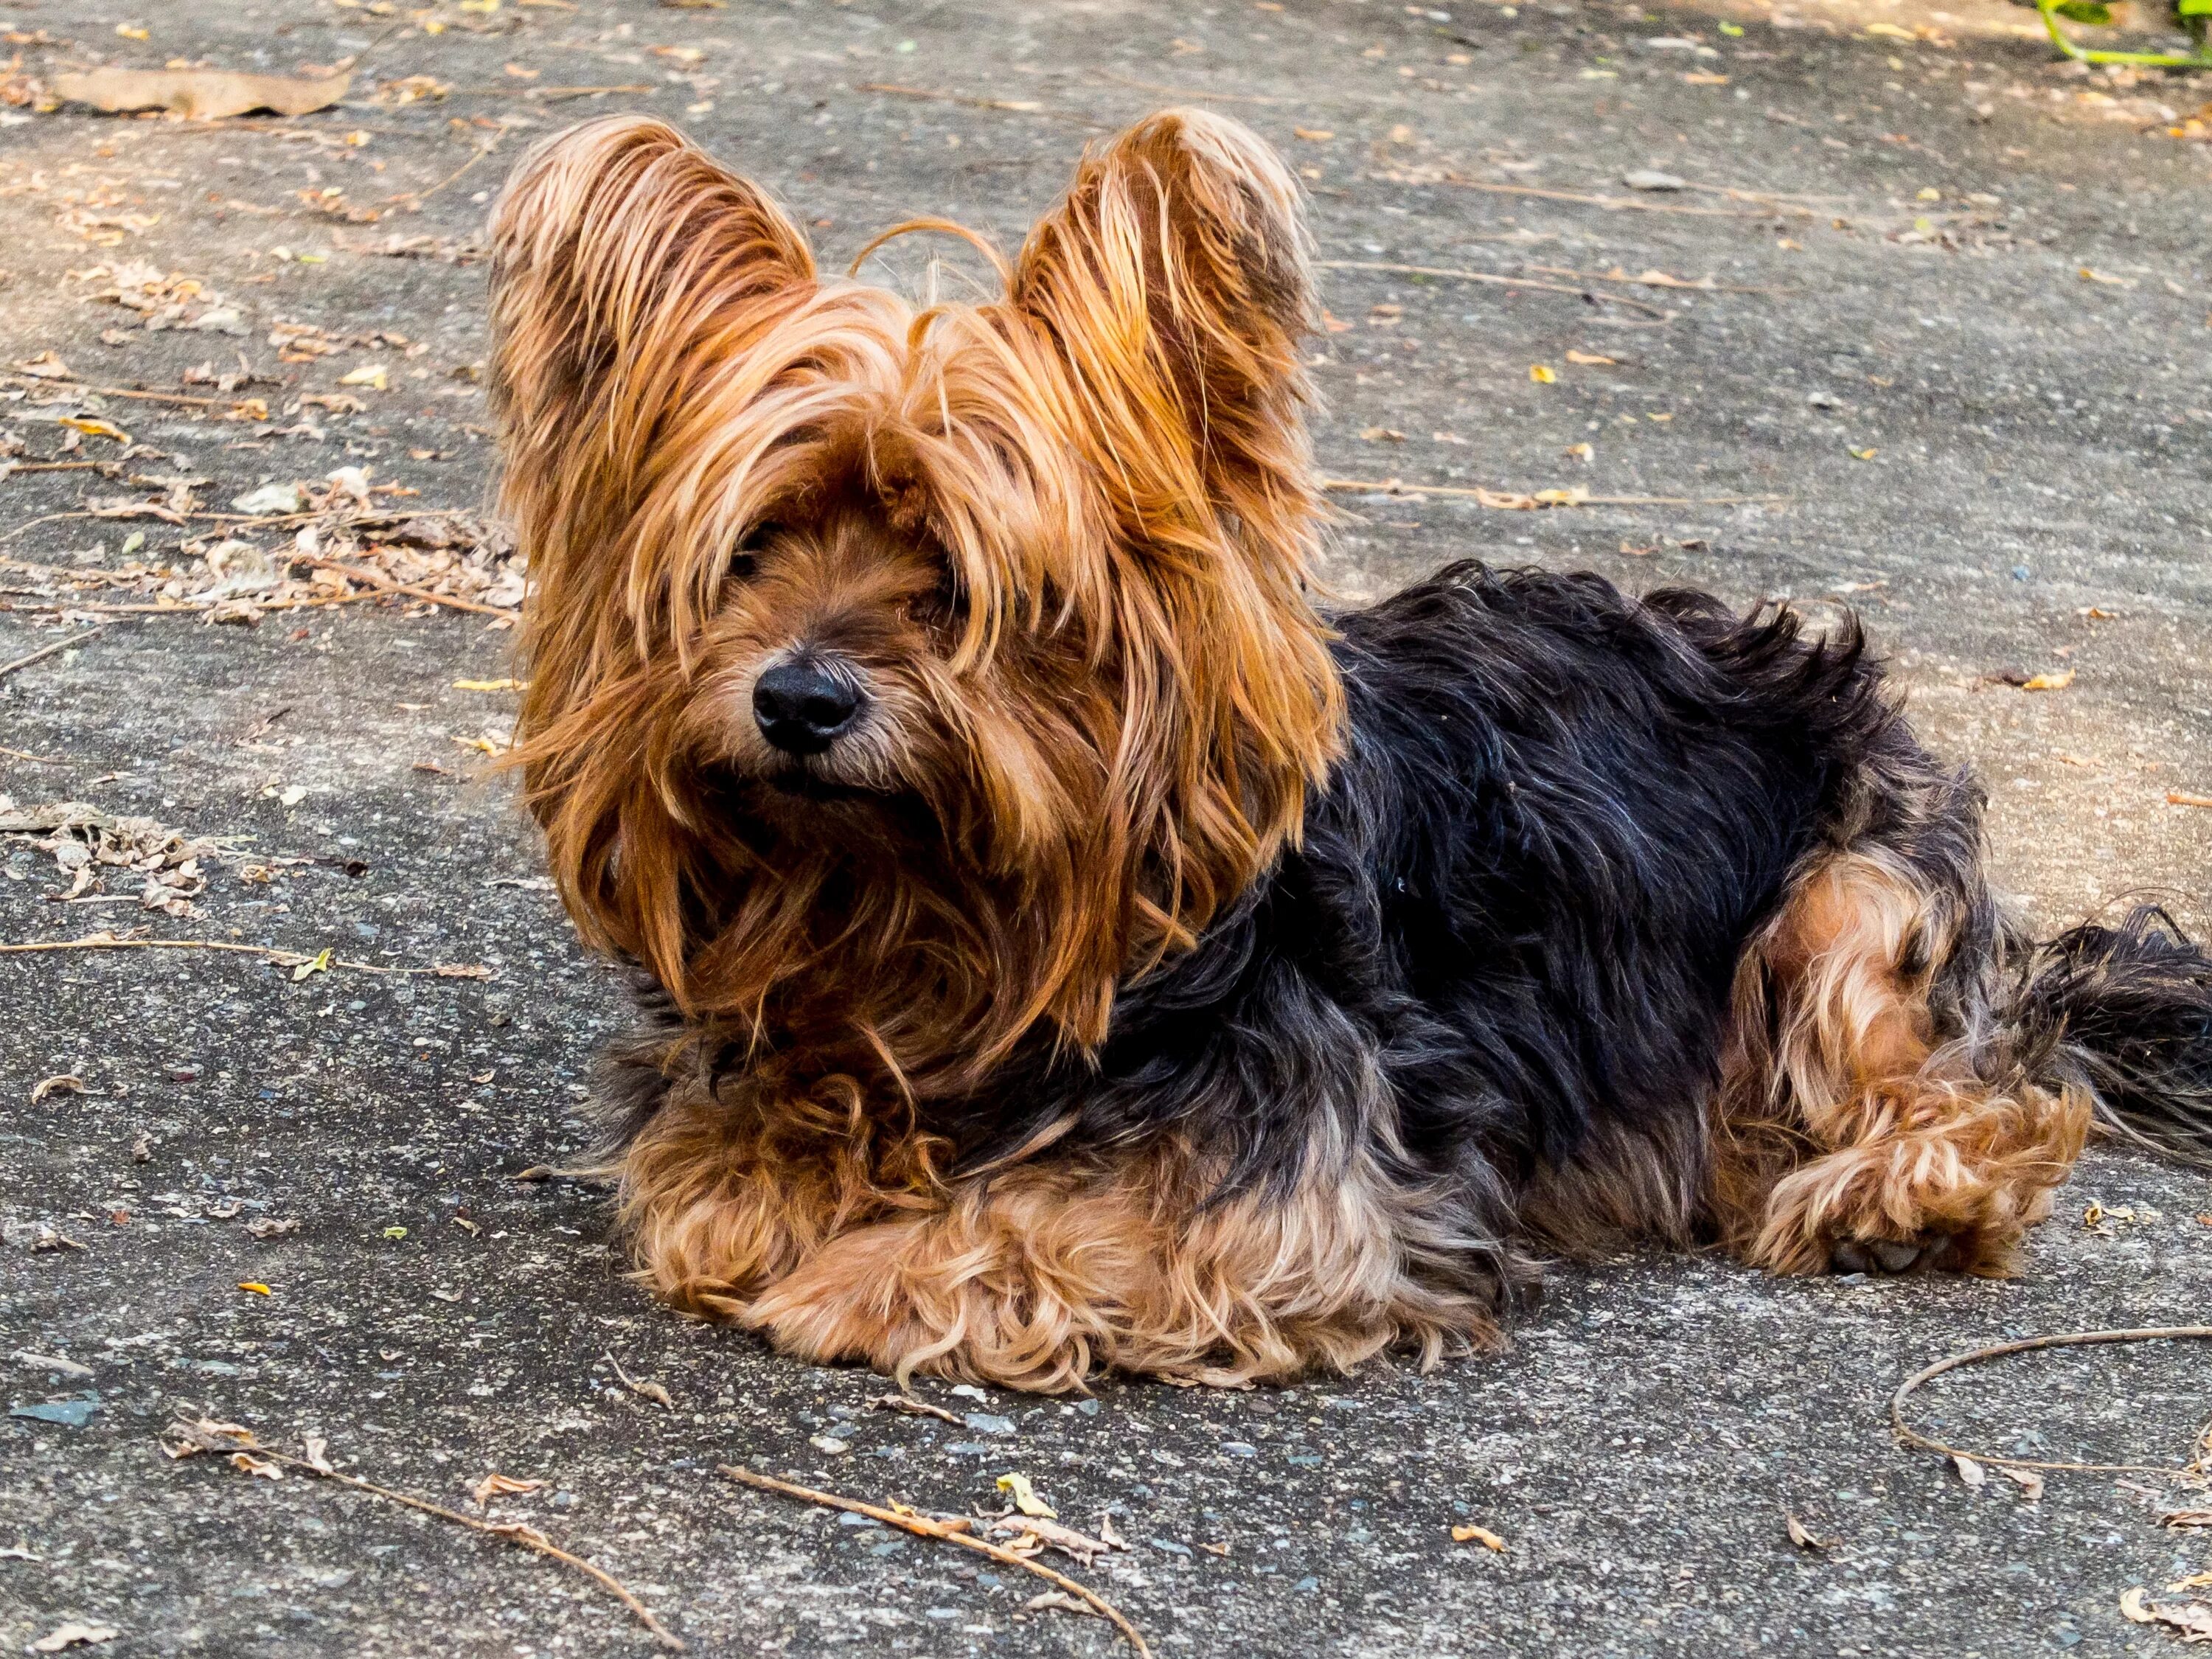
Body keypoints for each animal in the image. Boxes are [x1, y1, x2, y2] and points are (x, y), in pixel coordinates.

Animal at [489, 111, 2212, 1398]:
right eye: (755, 552)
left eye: (958, 579)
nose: (799, 702)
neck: (933, 914)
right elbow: (711, 1188)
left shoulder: (1308, 1194)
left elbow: (1060, 1232)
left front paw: (876, 1268)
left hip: (1851, 896)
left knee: (1981, 1093)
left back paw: (1895, 1194)